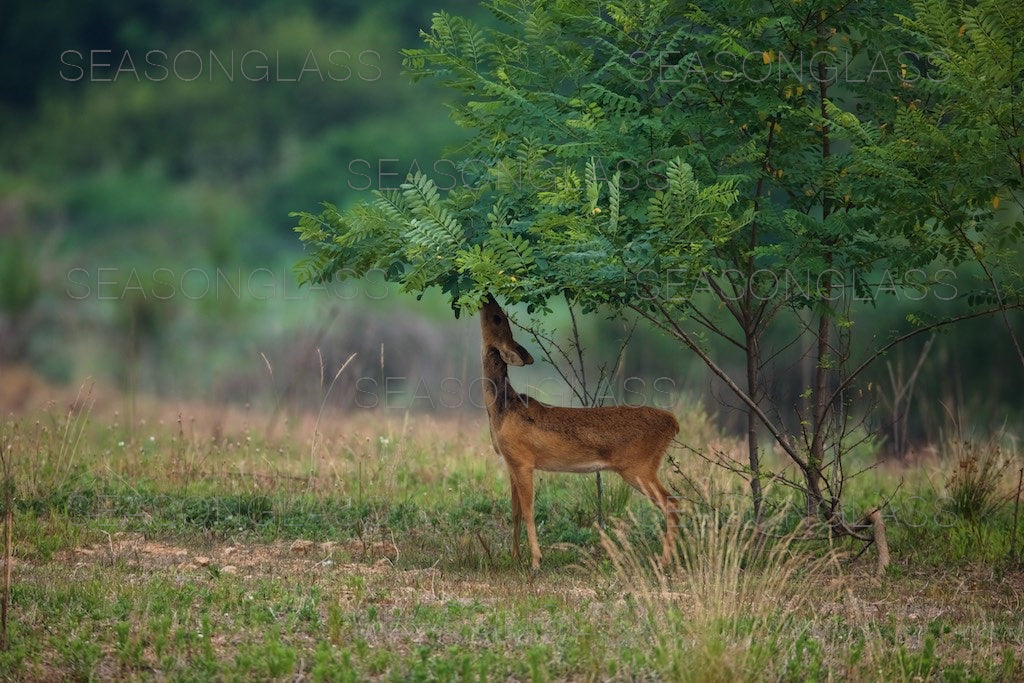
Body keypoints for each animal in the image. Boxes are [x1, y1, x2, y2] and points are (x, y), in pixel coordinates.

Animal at [477, 296, 679, 569]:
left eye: (498, 318)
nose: (487, 297)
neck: (504, 408)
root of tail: (673, 423)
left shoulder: (523, 460)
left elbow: (529, 510)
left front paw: (536, 561)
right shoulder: (511, 463)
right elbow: (515, 511)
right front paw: (516, 557)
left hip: (639, 467)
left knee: (672, 503)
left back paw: (664, 561)